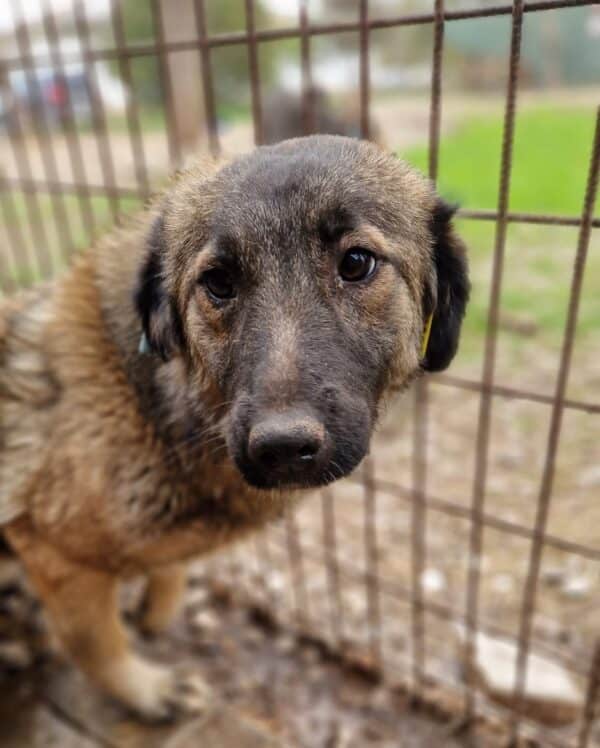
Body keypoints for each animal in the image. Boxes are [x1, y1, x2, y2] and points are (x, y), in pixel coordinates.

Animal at [0, 134, 468, 720]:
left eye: (357, 262)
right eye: (218, 283)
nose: (283, 447)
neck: (154, 404)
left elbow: (170, 573)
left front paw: (156, 609)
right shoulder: (54, 554)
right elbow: (98, 645)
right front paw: (148, 690)